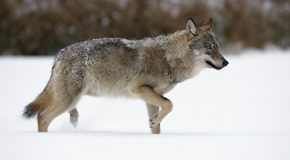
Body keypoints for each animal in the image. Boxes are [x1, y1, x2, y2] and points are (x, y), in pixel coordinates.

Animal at [23, 17, 229, 134]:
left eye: (218, 47)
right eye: (209, 48)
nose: (226, 63)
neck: (170, 58)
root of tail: (60, 53)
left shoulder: (150, 96)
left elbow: (158, 123)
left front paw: (155, 129)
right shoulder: (137, 88)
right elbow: (170, 104)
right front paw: (155, 121)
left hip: (72, 100)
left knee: (65, 114)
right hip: (68, 100)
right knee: (42, 118)